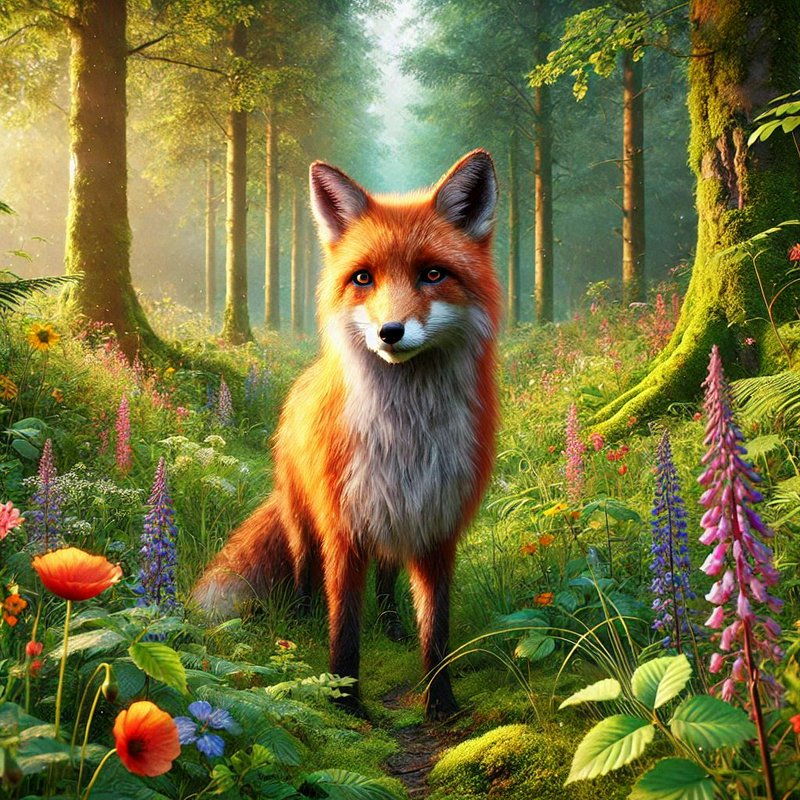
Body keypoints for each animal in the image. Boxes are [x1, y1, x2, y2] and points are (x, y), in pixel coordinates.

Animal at [192, 149, 501, 719]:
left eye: (433, 274)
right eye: (363, 278)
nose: (390, 332)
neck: (406, 436)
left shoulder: (436, 526)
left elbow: (437, 632)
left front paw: (440, 701)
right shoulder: (344, 527)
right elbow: (345, 628)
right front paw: (345, 702)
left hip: (392, 523)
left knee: (387, 582)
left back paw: (393, 626)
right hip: (303, 520)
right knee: (304, 574)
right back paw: (299, 621)